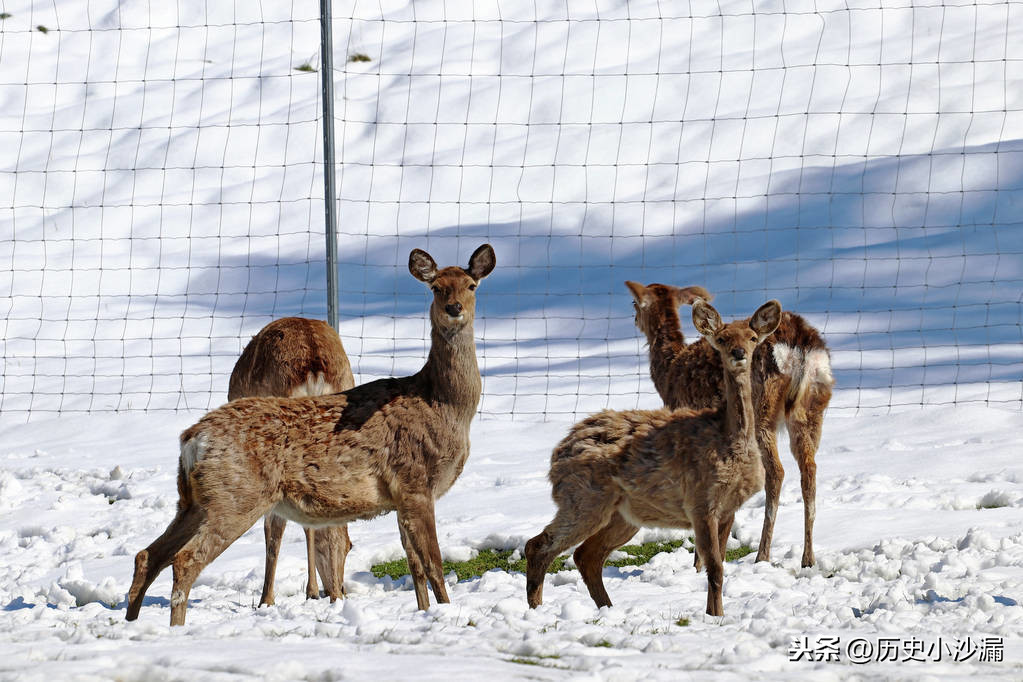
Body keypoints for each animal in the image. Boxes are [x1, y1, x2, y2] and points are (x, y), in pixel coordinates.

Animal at [527, 298, 781, 617]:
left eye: (751, 337)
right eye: (722, 339)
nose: (738, 353)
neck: (728, 439)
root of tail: (558, 454)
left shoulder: (728, 508)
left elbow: (720, 563)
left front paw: (716, 614)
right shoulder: (700, 501)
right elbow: (714, 567)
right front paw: (715, 617)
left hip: (622, 514)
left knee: (586, 555)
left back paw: (608, 609)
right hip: (583, 498)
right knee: (540, 544)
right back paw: (536, 610)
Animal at [621, 280, 830, 568]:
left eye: (634, 303)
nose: (632, 319)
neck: (669, 375)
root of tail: (801, 347)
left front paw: (699, 563)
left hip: (762, 407)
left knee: (776, 472)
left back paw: (762, 555)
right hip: (813, 407)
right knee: (809, 468)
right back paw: (807, 558)